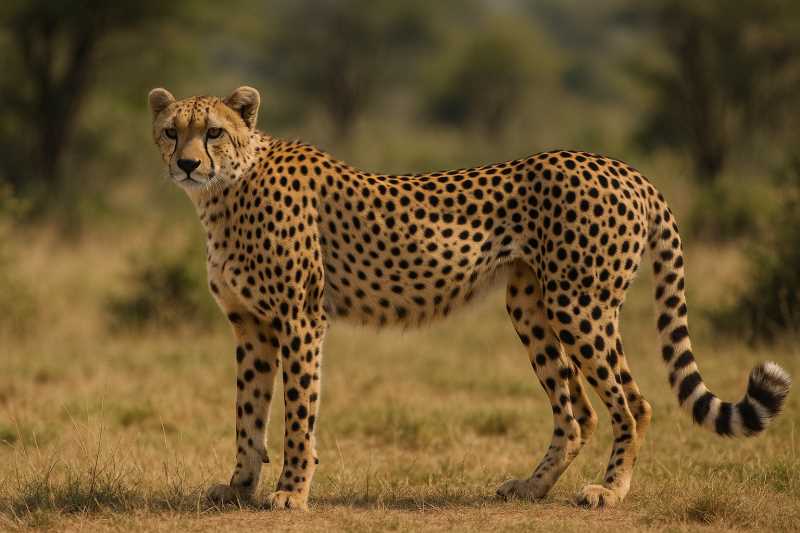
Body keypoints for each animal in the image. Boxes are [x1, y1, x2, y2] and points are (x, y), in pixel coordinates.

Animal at [148, 86, 791, 511]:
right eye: (171, 131)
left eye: (213, 132)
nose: (187, 163)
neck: (226, 190)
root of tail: (623, 167)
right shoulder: (250, 326)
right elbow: (247, 413)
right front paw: (237, 487)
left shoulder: (301, 321)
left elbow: (298, 412)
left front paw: (290, 492)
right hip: (531, 307)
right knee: (577, 411)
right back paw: (531, 487)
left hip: (581, 307)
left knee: (634, 403)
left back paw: (609, 491)